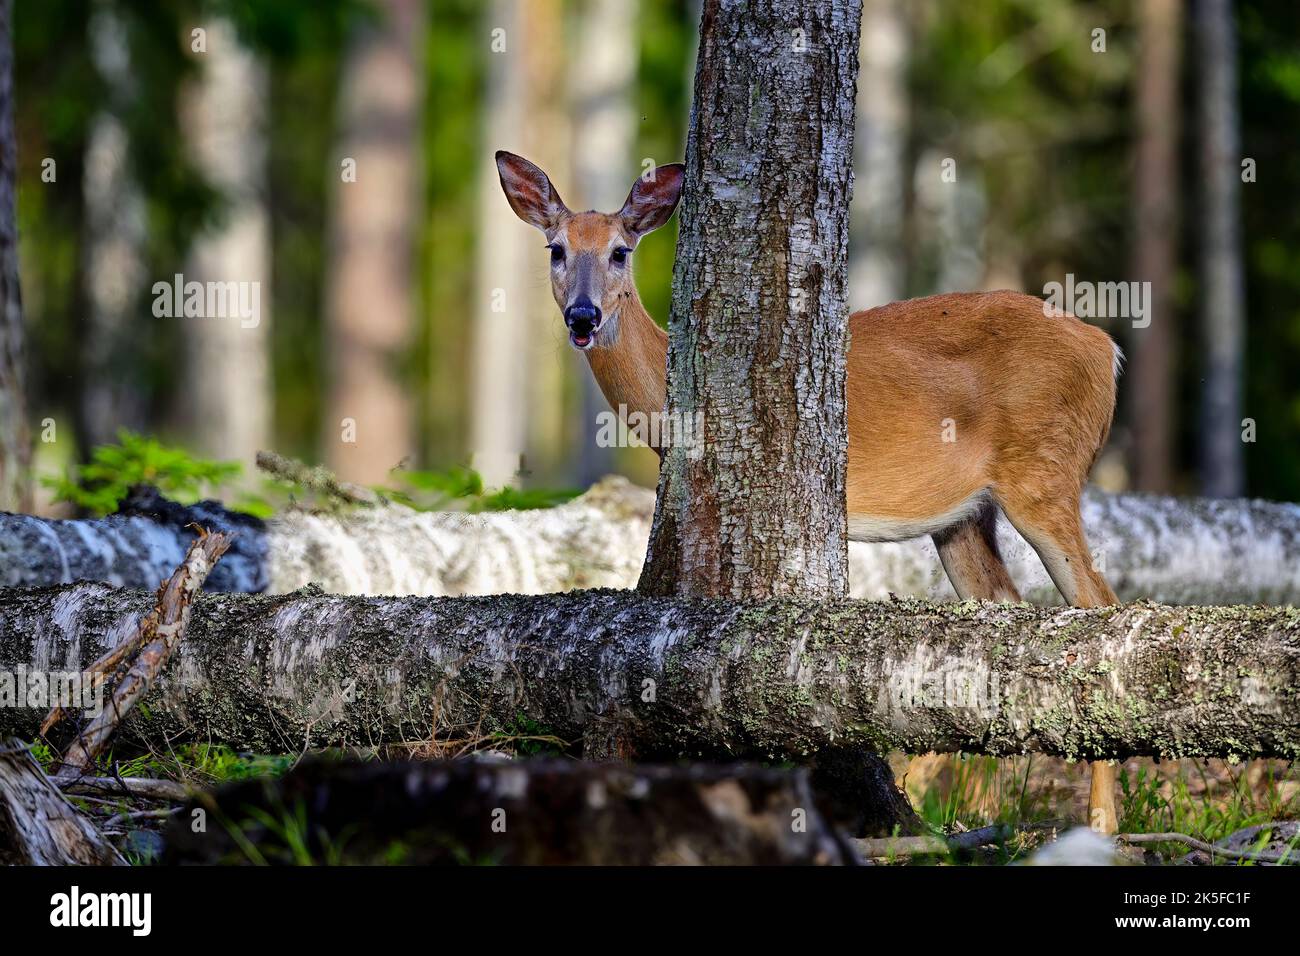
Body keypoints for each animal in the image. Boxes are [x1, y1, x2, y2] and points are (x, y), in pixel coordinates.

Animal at [496, 149, 1128, 832]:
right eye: (556, 249)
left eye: (619, 251)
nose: (583, 316)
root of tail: (1108, 350)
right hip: (964, 518)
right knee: (1006, 618)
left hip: (1045, 471)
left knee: (1101, 606)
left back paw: (1101, 822)